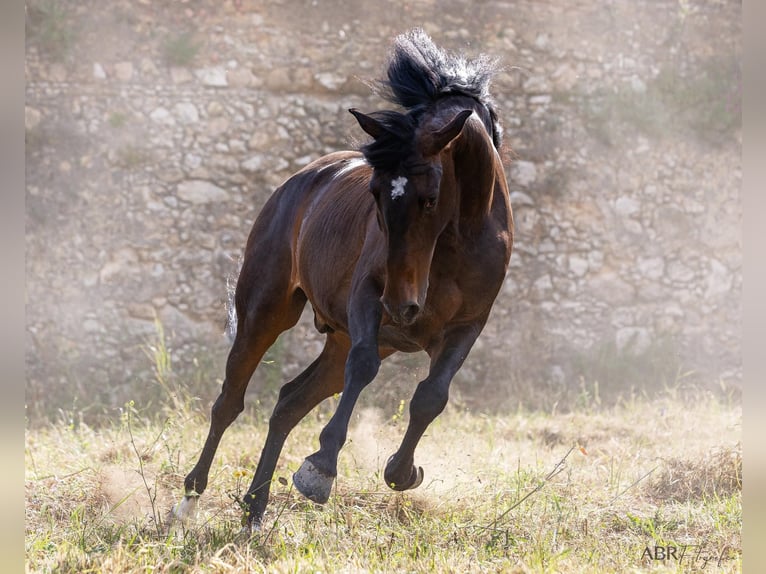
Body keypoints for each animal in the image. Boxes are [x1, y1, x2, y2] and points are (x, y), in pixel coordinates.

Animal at [174, 25, 516, 532]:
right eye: (375, 192)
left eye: (431, 198)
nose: (402, 305)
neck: (461, 237)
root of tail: (297, 181)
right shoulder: (368, 297)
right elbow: (365, 367)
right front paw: (320, 470)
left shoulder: (468, 324)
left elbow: (431, 396)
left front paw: (402, 472)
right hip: (267, 310)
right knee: (230, 401)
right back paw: (191, 498)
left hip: (340, 338)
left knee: (289, 402)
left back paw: (255, 509)